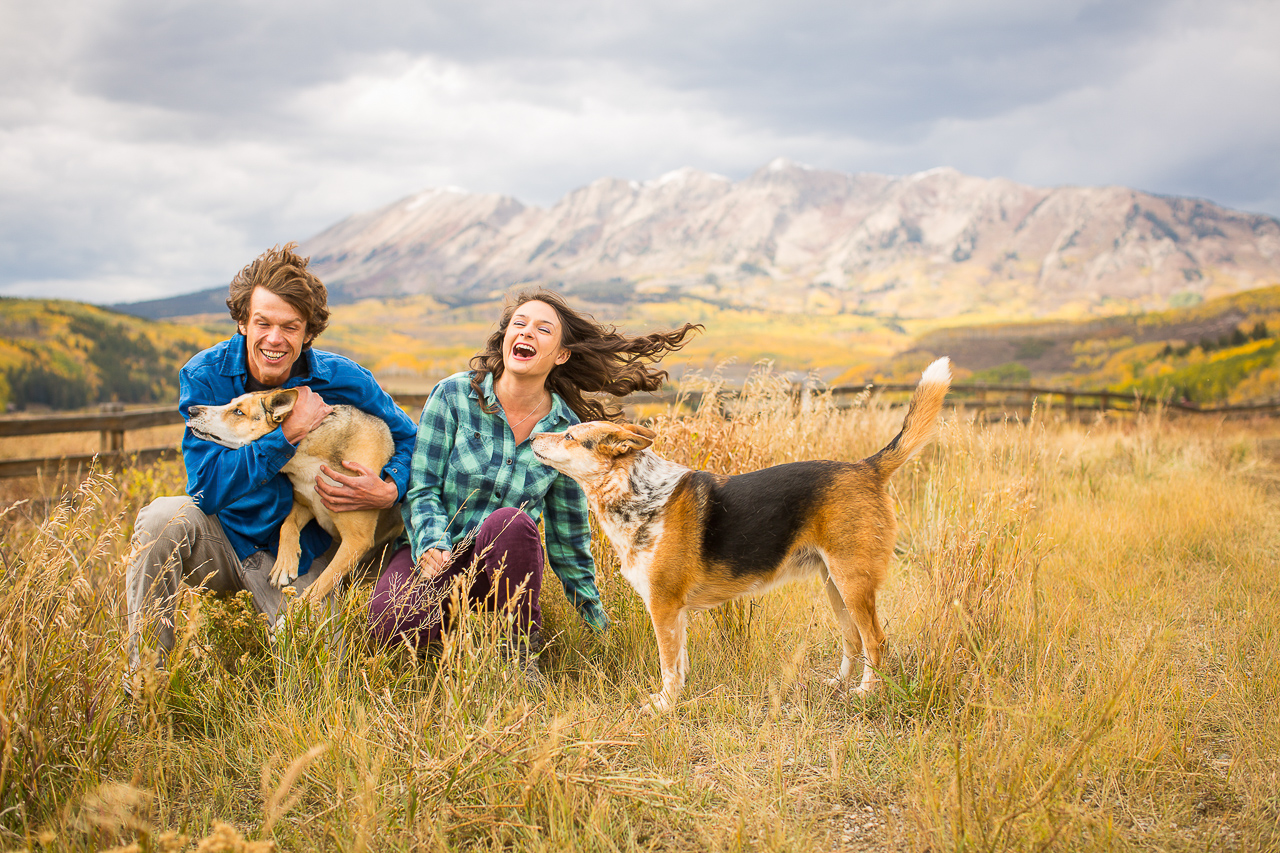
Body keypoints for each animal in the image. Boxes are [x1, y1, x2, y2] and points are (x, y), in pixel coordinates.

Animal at [185, 389, 401, 607]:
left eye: (238, 412)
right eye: (231, 403)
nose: (191, 410)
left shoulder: (357, 540)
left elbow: (321, 583)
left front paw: (296, 611)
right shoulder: (304, 504)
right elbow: (286, 526)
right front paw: (284, 565)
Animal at [529, 356, 952, 706]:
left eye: (569, 436)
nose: (532, 436)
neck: (639, 493)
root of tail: (867, 467)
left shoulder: (663, 606)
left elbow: (668, 665)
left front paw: (664, 706)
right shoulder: (676, 613)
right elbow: (679, 663)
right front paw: (677, 698)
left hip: (853, 582)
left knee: (875, 640)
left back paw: (866, 693)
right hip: (836, 585)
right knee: (853, 639)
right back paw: (839, 684)